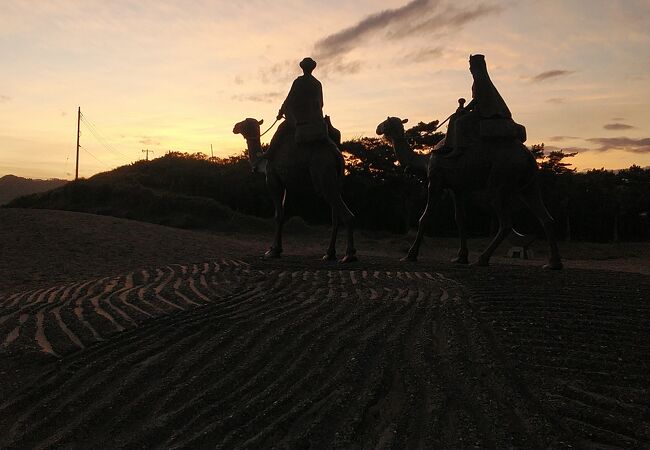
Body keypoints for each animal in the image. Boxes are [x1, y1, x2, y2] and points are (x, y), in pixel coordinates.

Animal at [232, 118, 354, 262]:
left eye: (244, 123)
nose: (235, 127)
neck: (263, 162)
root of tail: (336, 154)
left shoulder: (273, 181)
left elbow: (278, 215)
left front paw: (272, 251)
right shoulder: (285, 185)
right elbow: (283, 214)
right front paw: (278, 249)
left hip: (324, 175)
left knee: (346, 214)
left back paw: (349, 255)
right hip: (336, 182)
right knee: (335, 216)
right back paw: (329, 254)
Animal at [378, 117, 560, 270]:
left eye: (387, 122)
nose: (378, 128)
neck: (425, 161)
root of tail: (529, 156)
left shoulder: (436, 182)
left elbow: (425, 217)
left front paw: (410, 255)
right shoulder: (457, 189)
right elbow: (460, 219)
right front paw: (460, 257)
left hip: (499, 180)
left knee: (506, 222)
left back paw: (482, 259)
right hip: (529, 186)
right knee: (546, 218)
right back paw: (553, 264)